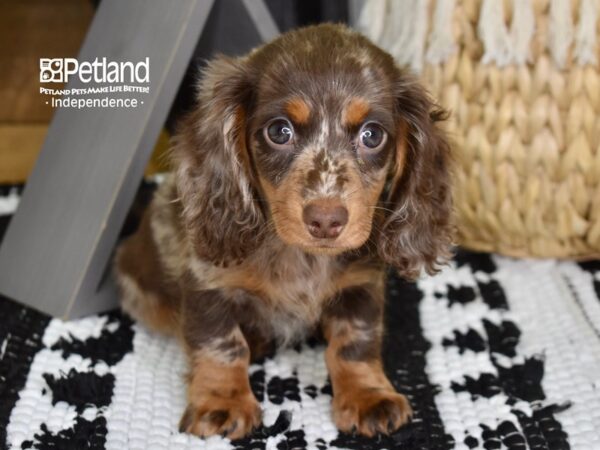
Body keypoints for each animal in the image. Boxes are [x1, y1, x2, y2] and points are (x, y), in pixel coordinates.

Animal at [115, 23, 452, 440]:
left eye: (372, 135)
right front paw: (222, 402)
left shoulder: (360, 284)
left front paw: (367, 396)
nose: (326, 220)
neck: (299, 256)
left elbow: (355, 342)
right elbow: (221, 344)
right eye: (279, 131)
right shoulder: (206, 284)